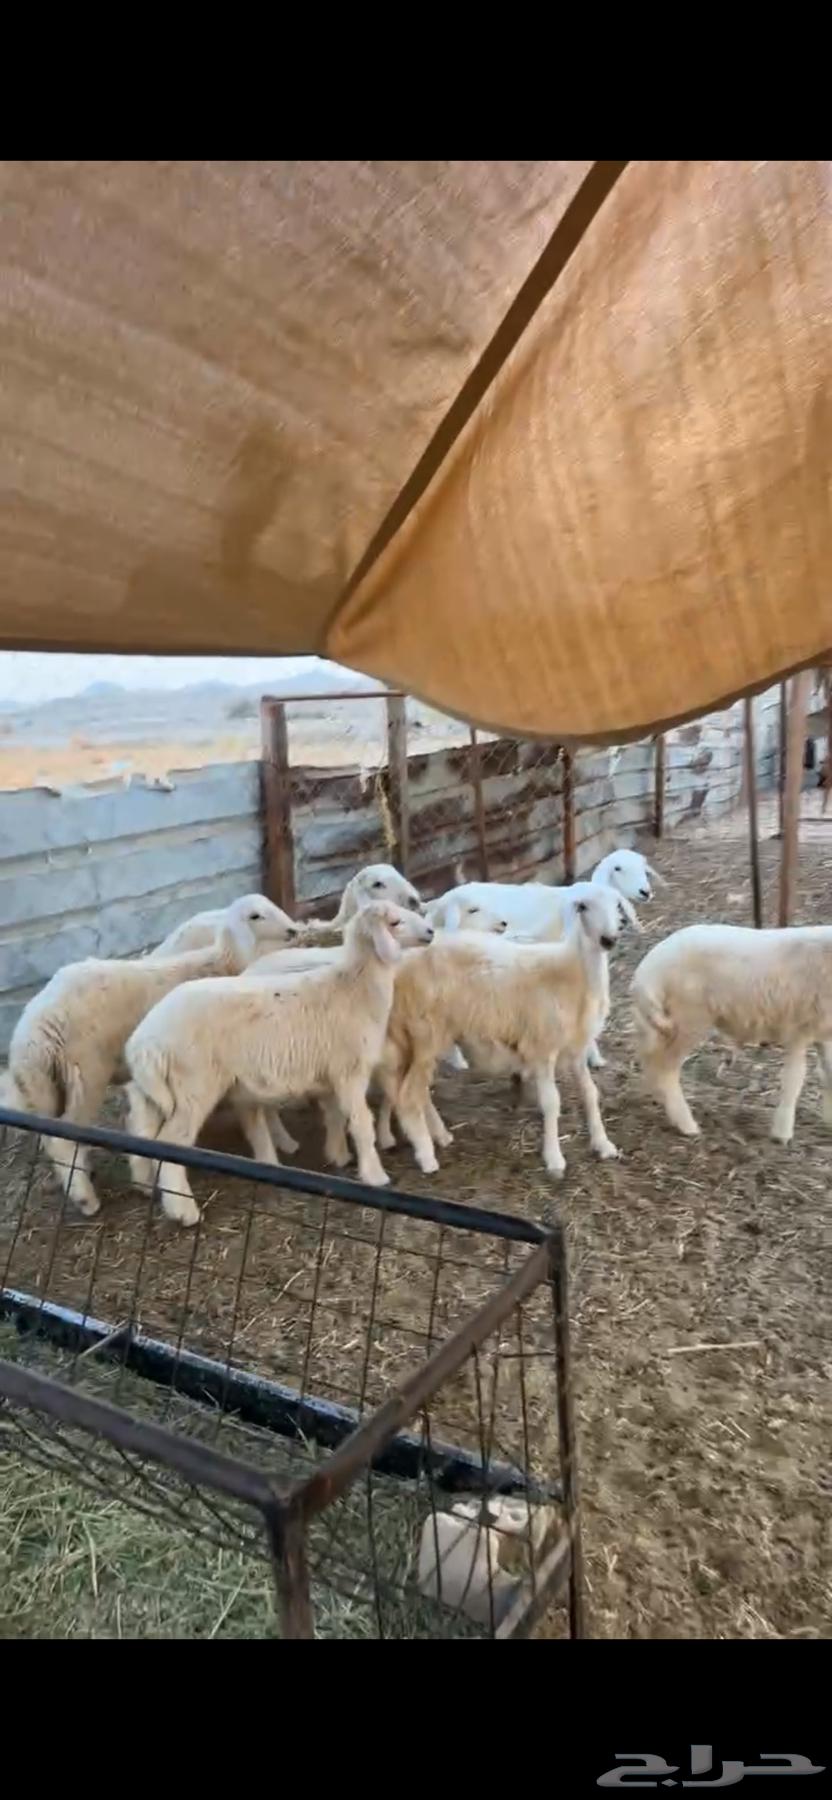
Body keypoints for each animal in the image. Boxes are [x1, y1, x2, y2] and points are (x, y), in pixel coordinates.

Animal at [4, 920, 263, 1217]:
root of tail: (30, 1036)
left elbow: (142, 1129)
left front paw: (144, 1180)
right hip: (85, 1076)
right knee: (64, 1140)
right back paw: (85, 1198)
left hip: (46, 1089)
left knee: (51, 1136)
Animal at [124, 901, 435, 1225]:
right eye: (395, 922)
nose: (430, 932)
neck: (353, 989)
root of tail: (143, 1043)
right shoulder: (350, 1071)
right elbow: (362, 1123)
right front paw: (375, 1176)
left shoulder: (330, 1073)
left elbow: (335, 1115)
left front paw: (338, 1155)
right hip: (192, 1087)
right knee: (169, 1144)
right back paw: (184, 1211)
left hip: (158, 1093)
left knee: (143, 1132)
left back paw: (146, 1186)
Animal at [375, 882, 624, 1178]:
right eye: (582, 906)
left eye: (617, 904)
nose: (608, 940)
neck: (570, 971)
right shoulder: (541, 1046)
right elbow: (551, 1102)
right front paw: (554, 1159)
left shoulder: (575, 1046)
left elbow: (590, 1093)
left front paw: (603, 1144)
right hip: (424, 1032)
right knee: (408, 1095)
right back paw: (425, 1155)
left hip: (417, 1039)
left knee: (413, 1090)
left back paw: (437, 1135)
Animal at [631, 922, 832, 1144]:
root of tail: (646, 971)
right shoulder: (798, 1029)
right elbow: (794, 1080)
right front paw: (782, 1133)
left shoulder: (824, 1032)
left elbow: (829, 1074)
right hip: (688, 1017)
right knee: (667, 1069)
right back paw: (687, 1125)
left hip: (659, 1024)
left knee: (650, 1060)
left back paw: (659, 1099)